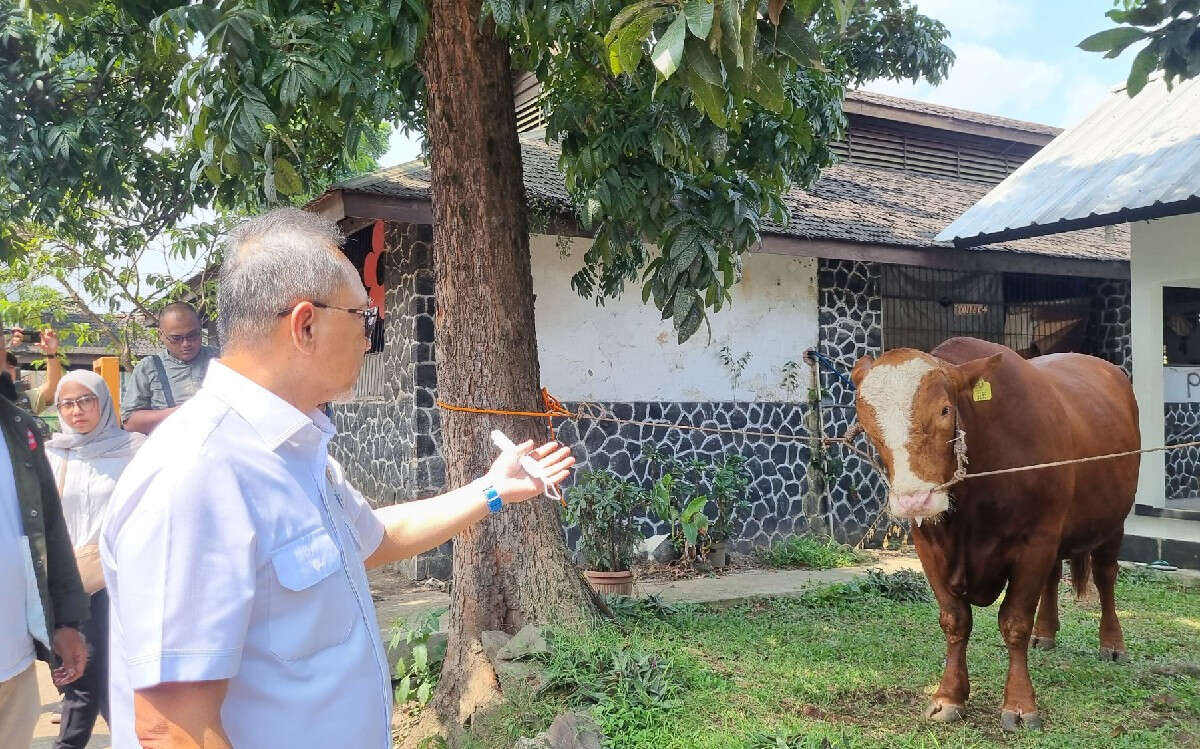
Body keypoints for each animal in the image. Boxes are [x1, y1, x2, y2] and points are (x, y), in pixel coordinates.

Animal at [849, 336, 1137, 729]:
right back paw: (1045, 633)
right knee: (1052, 577)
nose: (914, 499)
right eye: (867, 424)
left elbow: (1014, 622)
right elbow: (955, 621)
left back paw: (1112, 643)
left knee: (1106, 575)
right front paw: (948, 697)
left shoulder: (1035, 540)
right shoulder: (929, 547)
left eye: (944, 410)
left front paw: (1020, 705)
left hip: (1113, 520)